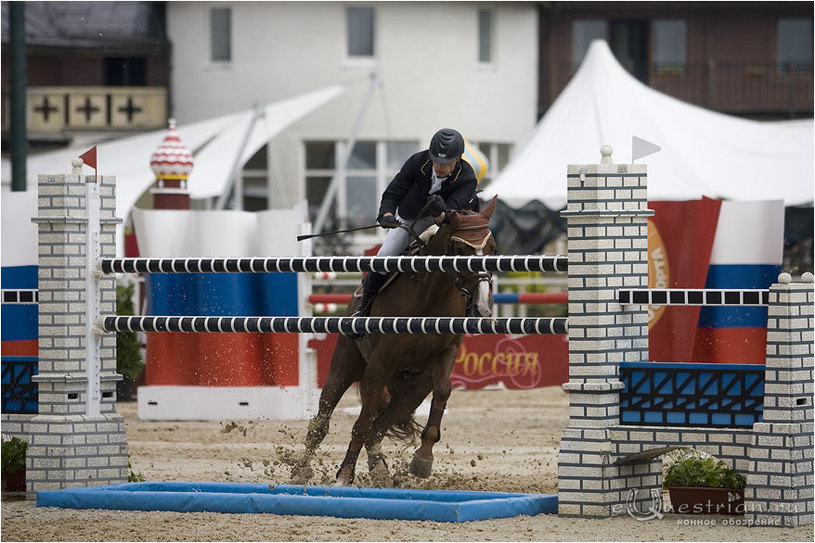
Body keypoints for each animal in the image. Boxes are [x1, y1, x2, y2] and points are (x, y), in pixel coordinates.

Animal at [292, 198, 498, 486]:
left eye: (492, 249)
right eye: (459, 249)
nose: (482, 308)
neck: (430, 297)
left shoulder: (444, 355)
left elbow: (443, 390)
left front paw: (423, 459)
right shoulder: (378, 367)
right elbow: (360, 424)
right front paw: (344, 474)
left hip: (412, 391)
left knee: (378, 427)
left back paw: (380, 469)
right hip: (344, 370)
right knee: (324, 422)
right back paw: (301, 469)